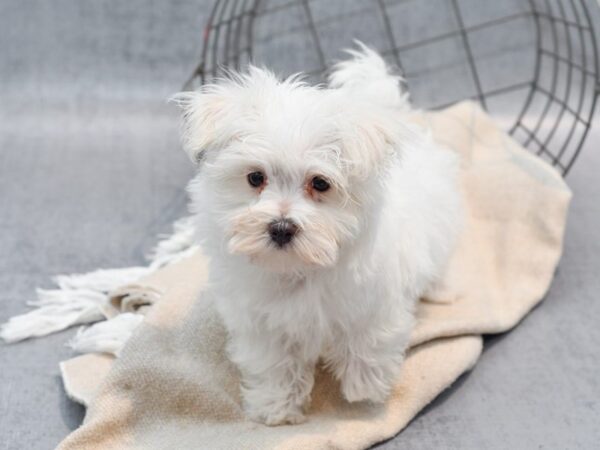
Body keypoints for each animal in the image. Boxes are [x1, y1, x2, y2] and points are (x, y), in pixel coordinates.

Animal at [171, 44, 462, 426]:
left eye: (320, 183)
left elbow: (367, 341)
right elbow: (274, 363)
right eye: (255, 178)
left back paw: (442, 291)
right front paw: (276, 408)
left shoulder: (372, 302)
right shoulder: (261, 321)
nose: (281, 227)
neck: (298, 269)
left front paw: (364, 387)